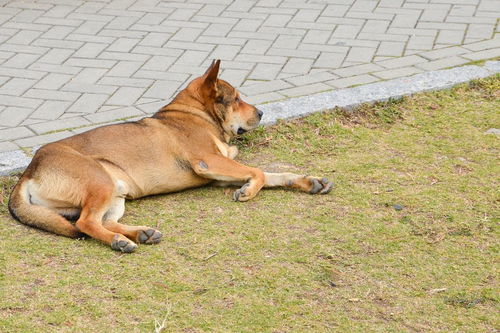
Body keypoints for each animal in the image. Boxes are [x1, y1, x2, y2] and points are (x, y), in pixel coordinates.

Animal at [8, 59, 332, 252]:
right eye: (237, 98)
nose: (262, 113)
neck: (196, 114)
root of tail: (29, 171)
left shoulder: (220, 173)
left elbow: (273, 174)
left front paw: (308, 181)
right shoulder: (209, 163)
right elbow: (260, 172)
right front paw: (249, 191)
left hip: (115, 191)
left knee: (102, 222)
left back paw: (141, 233)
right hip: (100, 181)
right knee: (85, 224)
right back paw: (120, 242)